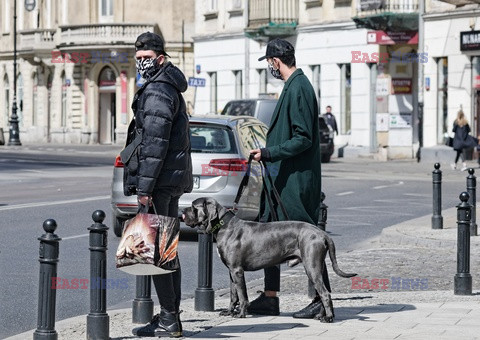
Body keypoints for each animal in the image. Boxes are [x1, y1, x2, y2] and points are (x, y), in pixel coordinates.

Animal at [184, 197, 356, 322]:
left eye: (193, 206)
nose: (182, 212)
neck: (223, 225)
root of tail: (322, 233)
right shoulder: (231, 271)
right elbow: (233, 294)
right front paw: (229, 312)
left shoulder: (237, 270)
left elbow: (242, 294)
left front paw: (241, 313)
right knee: (322, 292)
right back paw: (321, 315)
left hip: (312, 266)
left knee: (325, 293)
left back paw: (328, 317)